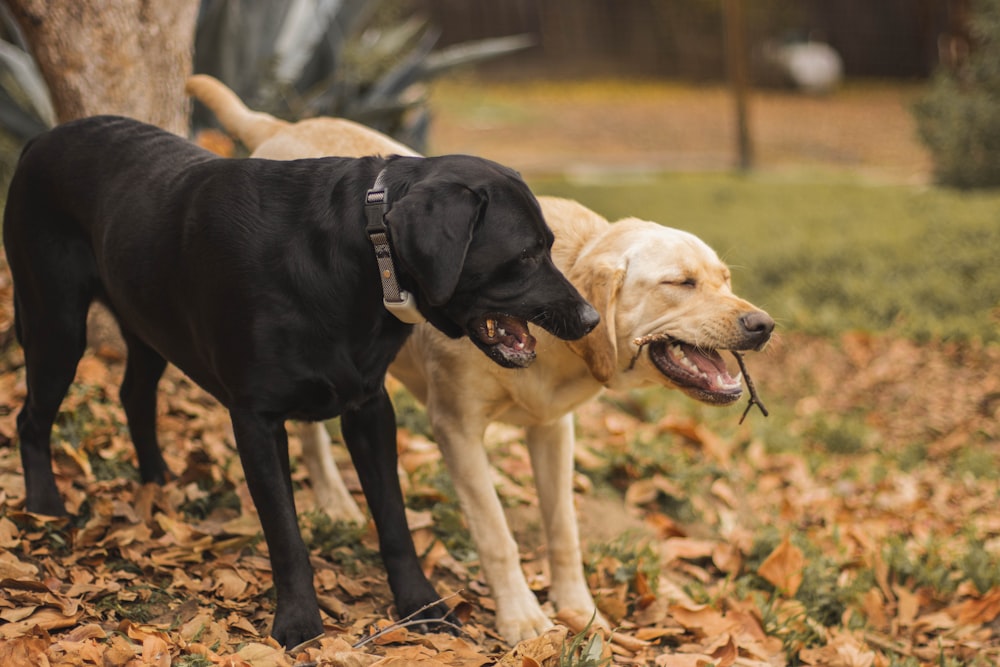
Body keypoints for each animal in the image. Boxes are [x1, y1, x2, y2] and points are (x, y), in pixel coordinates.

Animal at [3, 115, 596, 648]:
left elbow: (395, 523)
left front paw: (421, 607)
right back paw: (44, 506)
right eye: (526, 254)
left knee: (134, 394)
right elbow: (286, 535)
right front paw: (298, 623)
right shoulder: (257, 420)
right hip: (56, 323)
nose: (590, 318)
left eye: (549, 245)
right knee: (30, 418)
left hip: (147, 322)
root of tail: (39, 139)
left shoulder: (369, 407)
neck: (358, 255)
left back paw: (157, 481)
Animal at [188, 75, 772, 644]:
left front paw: (578, 611)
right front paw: (522, 620)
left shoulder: (553, 430)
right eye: (681, 283)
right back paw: (333, 498)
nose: (762, 325)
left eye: (725, 280)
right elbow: (497, 534)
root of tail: (280, 124)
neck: (545, 332)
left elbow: (563, 530)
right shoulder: (457, 430)